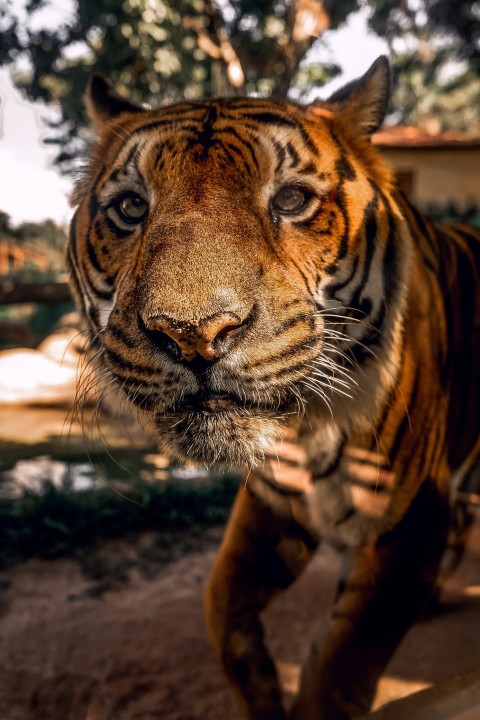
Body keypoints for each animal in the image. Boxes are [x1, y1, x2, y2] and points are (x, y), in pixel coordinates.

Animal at [68, 57, 480, 720]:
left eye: (291, 200)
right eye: (131, 207)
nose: (194, 335)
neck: (304, 434)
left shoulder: (407, 521)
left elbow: (339, 667)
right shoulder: (267, 504)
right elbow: (218, 606)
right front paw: (261, 693)